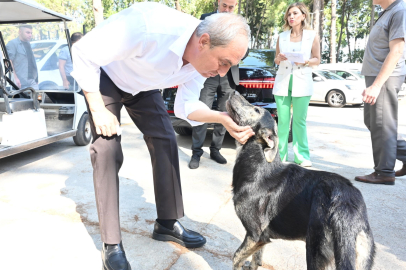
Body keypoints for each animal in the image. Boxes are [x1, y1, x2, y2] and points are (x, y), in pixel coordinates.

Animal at [225, 92, 374, 270]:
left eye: (256, 110)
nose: (234, 91)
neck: (259, 164)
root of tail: (346, 204)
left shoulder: (256, 235)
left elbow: (236, 257)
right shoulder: (261, 240)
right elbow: (256, 258)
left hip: (315, 249)